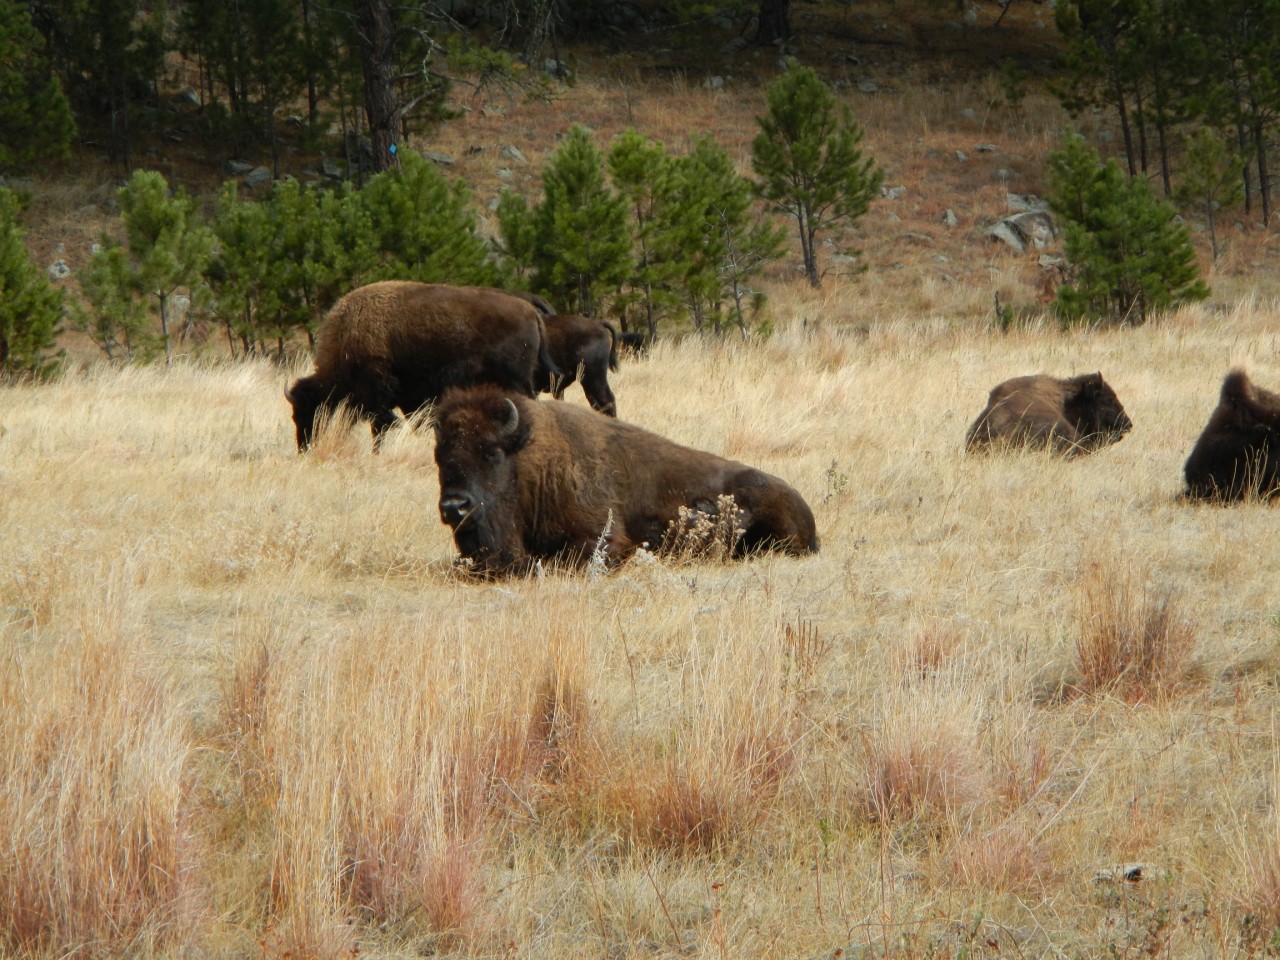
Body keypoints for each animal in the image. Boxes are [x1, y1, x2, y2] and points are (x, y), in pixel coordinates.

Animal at [285, 281, 557, 452]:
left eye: (307, 410)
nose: (304, 447)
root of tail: (530, 311)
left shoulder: (377, 393)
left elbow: (380, 425)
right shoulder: (407, 397)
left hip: (517, 381)